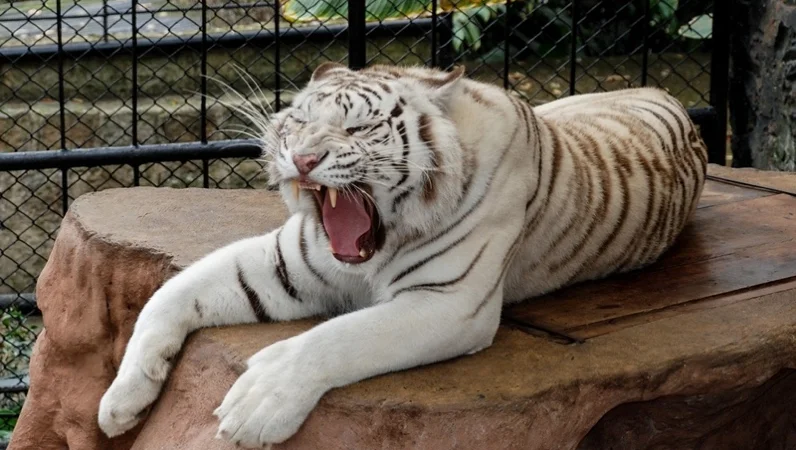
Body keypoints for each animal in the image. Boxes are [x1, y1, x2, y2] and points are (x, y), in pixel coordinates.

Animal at [97, 62, 707, 447]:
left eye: (359, 126)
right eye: (299, 120)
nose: (302, 158)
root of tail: (663, 92)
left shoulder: (451, 301)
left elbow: (336, 338)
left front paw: (257, 404)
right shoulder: (282, 265)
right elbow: (166, 296)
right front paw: (120, 401)